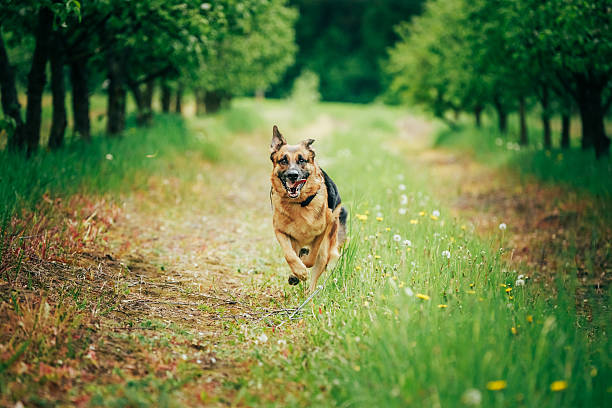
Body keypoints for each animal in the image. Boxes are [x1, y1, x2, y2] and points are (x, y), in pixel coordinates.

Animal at [268, 124, 346, 290]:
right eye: (283, 160)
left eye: (301, 160)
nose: (292, 175)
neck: (299, 203)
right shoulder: (280, 231)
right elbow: (289, 255)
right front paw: (298, 271)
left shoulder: (321, 233)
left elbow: (311, 259)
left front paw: (302, 269)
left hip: (325, 249)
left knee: (315, 274)